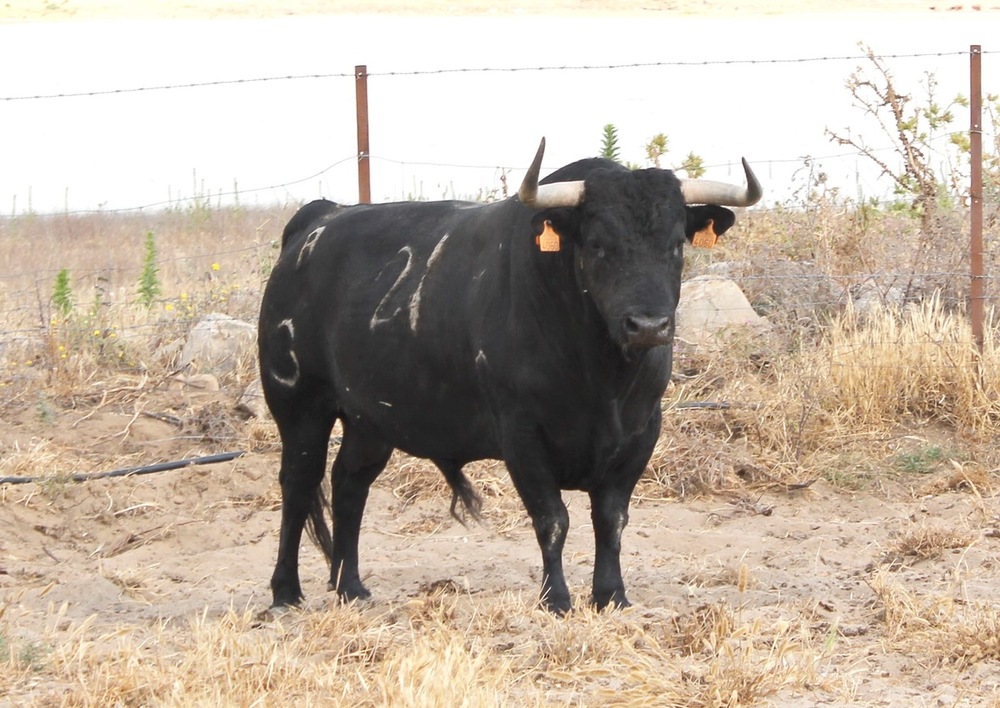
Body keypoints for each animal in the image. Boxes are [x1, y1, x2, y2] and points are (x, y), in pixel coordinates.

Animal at [258, 138, 756, 612]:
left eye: (675, 245)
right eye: (598, 244)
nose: (649, 326)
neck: (602, 380)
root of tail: (321, 216)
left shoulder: (641, 431)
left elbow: (611, 519)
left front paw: (611, 595)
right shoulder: (521, 434)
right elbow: (552, 519)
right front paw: (556, 599)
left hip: (369, 419)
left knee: (349, 485)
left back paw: (352, 587)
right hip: (299, 404)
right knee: (298, 484)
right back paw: (285, 592)